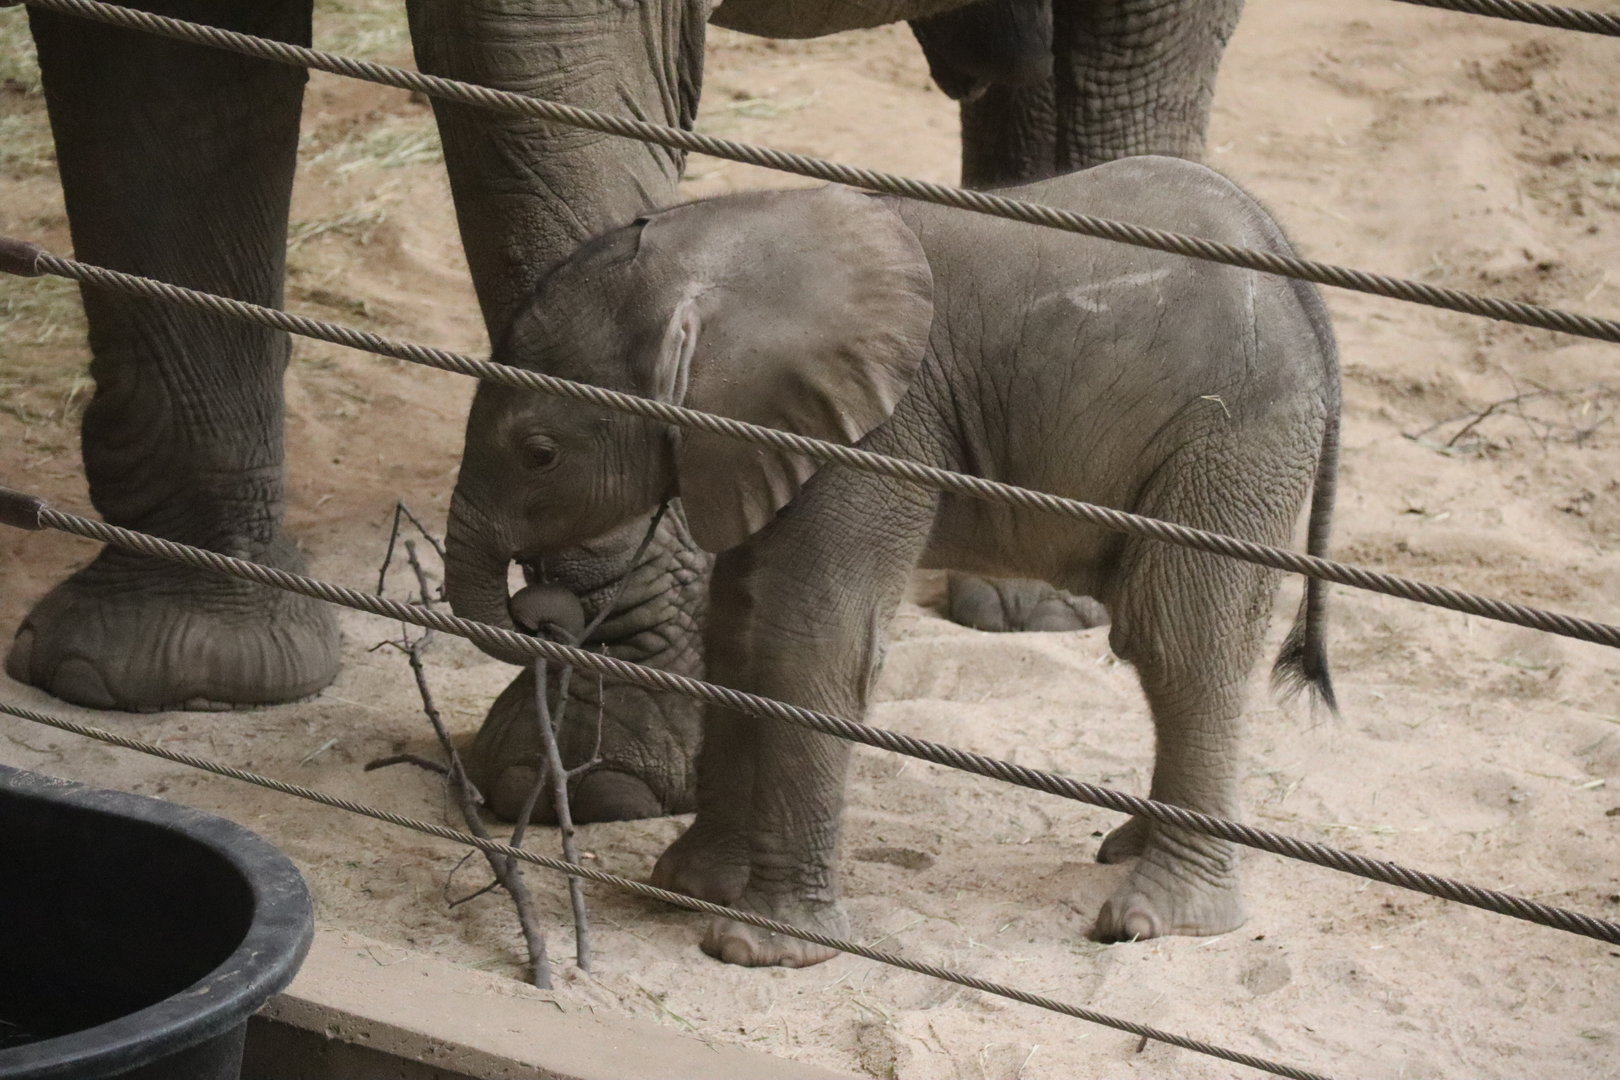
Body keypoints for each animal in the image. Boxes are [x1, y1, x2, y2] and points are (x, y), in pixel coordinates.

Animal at [444, 158, 1341, 965]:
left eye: (539, 454)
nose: (540, 608)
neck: (734, 248)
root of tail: (1303, 289)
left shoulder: (881, 434)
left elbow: (811, 642)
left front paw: (758, 948)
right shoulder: (770, 439)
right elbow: (742, 632)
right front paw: (691, 887)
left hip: (1230, 440)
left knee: (1180, 640)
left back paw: (1155, 916)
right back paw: (1129, 848)